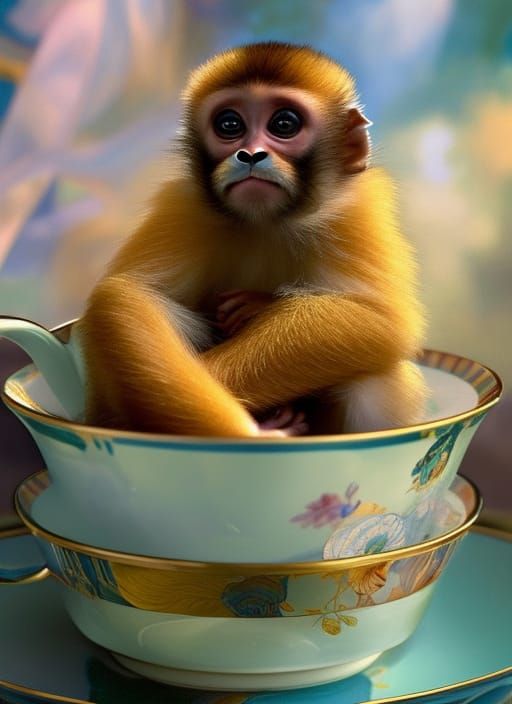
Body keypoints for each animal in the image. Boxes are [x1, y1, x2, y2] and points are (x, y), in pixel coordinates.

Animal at [77, 41, 427, 438]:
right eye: (229, 124)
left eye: (284, 124)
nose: (250, 154)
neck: (266, 223)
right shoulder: (183, 208)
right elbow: (128, 296)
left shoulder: (356, 211)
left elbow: (381, 319)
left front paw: (256, 306)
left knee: (379, 377)